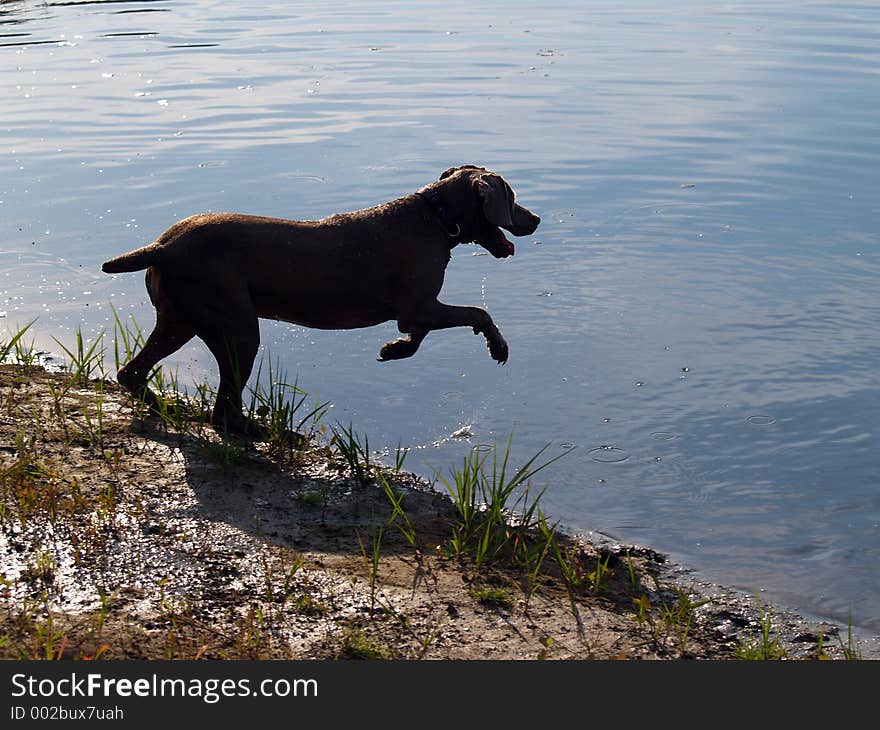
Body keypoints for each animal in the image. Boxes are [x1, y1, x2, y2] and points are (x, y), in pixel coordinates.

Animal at [104, 165, 544, 432]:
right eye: (511, 195)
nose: (536, 219)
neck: (435, 219)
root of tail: (162, 247)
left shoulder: (416, 309)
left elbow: (416, 334)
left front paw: (394, 349)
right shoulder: (421, 304)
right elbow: (477, 311)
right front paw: (498, 347)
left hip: (179, 320)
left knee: (132, 372)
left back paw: (163, 404)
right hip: (237, 327)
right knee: (223, 407)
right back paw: (258, 432)